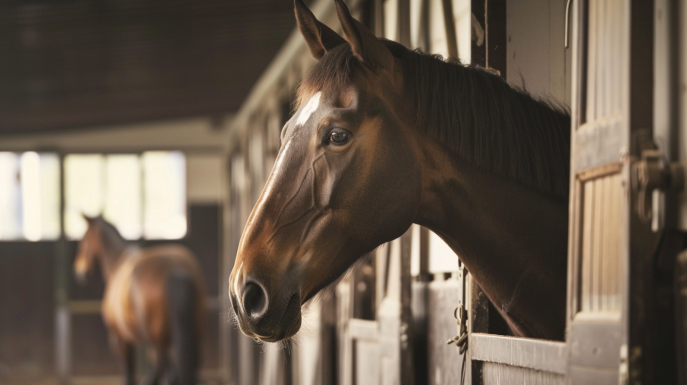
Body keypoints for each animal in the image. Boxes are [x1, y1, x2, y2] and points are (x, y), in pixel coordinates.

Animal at [75, 216, 206, 384]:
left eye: (83, 241)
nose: (80, 272)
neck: (118, 264)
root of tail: (176, 268)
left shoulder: (120, 339)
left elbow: (129, 371)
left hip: (159, 343)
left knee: (166, 371)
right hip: (192, 334)